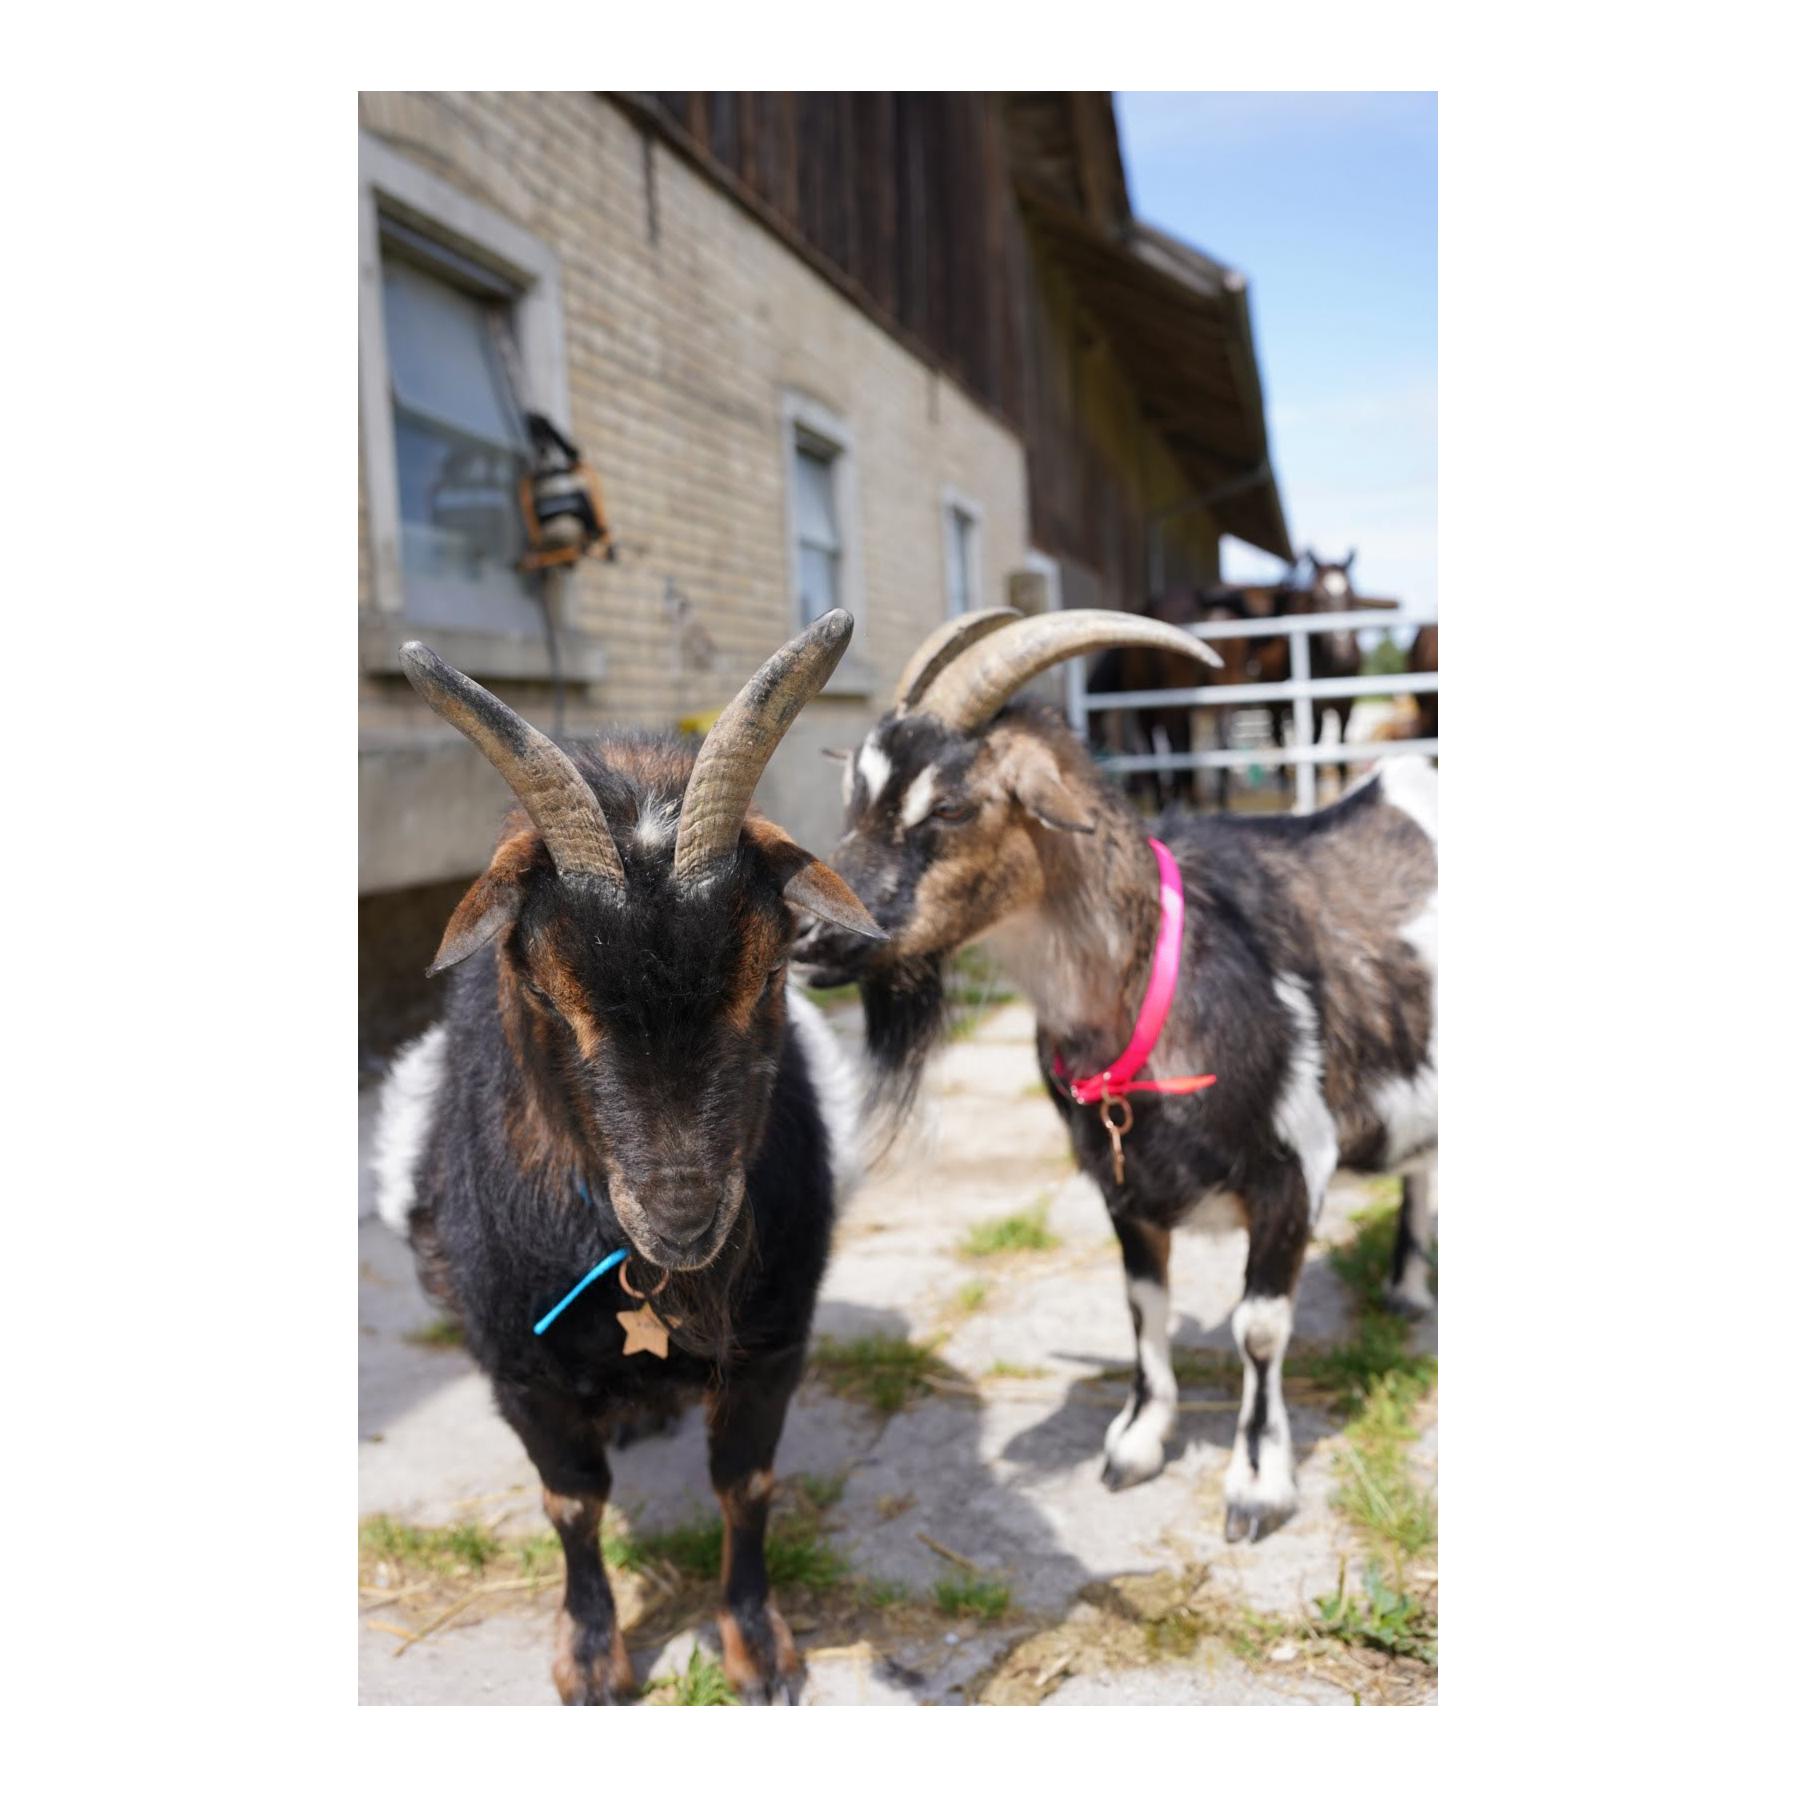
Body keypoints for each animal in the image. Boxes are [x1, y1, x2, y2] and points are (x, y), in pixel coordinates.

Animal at [371, 610, 884, 1703]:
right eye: (543, 985)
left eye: (770, 969)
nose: (682, 1213)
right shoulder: (519, 1368)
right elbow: (572, 1504)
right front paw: (591, 1656)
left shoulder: (773, 1343)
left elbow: (746, 1484)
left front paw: (759, 1646)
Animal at [795, 609, 1437, 1542]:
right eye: (855, 797)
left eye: (949, 804)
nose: (806, 935)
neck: (1148, 982)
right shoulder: (1120, 1184)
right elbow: (1144, 1306)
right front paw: (1137, 1440)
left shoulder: (1294, 1169)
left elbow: (1260, 1329)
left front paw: (1257, 1483)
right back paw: (1408, 1288)